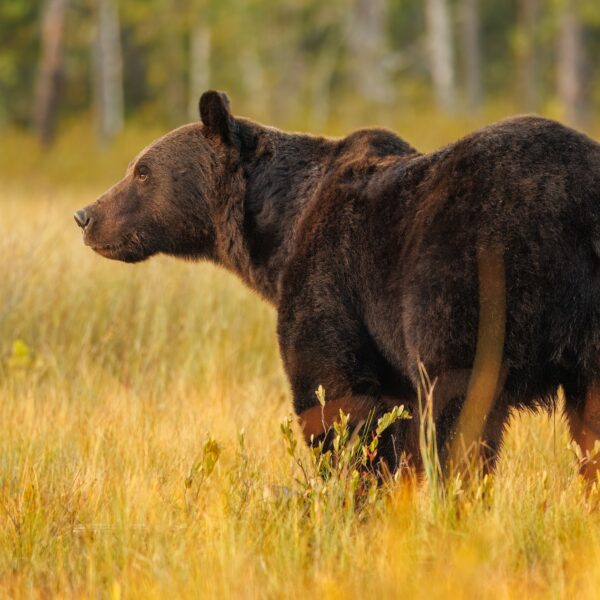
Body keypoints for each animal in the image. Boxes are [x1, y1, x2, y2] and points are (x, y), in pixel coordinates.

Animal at [74, 91, 600, 480]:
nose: (86, 216)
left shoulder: (330, 280)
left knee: (460, 410)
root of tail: (570, 203)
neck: (278, 233)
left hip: (469, 283)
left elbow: (335, 399)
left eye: (142, 171)